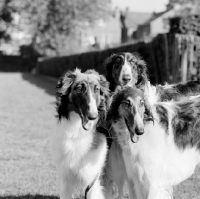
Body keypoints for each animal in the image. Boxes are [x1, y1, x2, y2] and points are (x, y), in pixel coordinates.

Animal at [50, 69, 109, 199]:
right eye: (79, 89)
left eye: (97, 89)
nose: (93, 117)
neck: (77, 131)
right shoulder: (65, 180)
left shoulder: (92, 182)